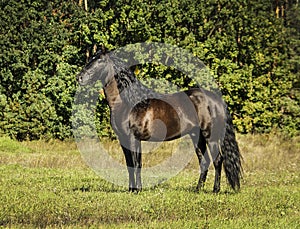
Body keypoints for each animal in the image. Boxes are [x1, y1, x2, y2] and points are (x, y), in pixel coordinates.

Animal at [76, 50, 243, 193]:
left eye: (99, 60)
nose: (80, 78)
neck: (128, 104)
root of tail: (216, 100)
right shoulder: (123, 139)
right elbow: (130, 164)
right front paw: (131, 189)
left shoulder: (133, 138)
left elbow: (137, 163)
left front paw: (137, 190)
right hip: (197, 136)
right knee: (204, 161)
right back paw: (198, 189)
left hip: (210, 136)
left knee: (218, 160)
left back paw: (215, 190)